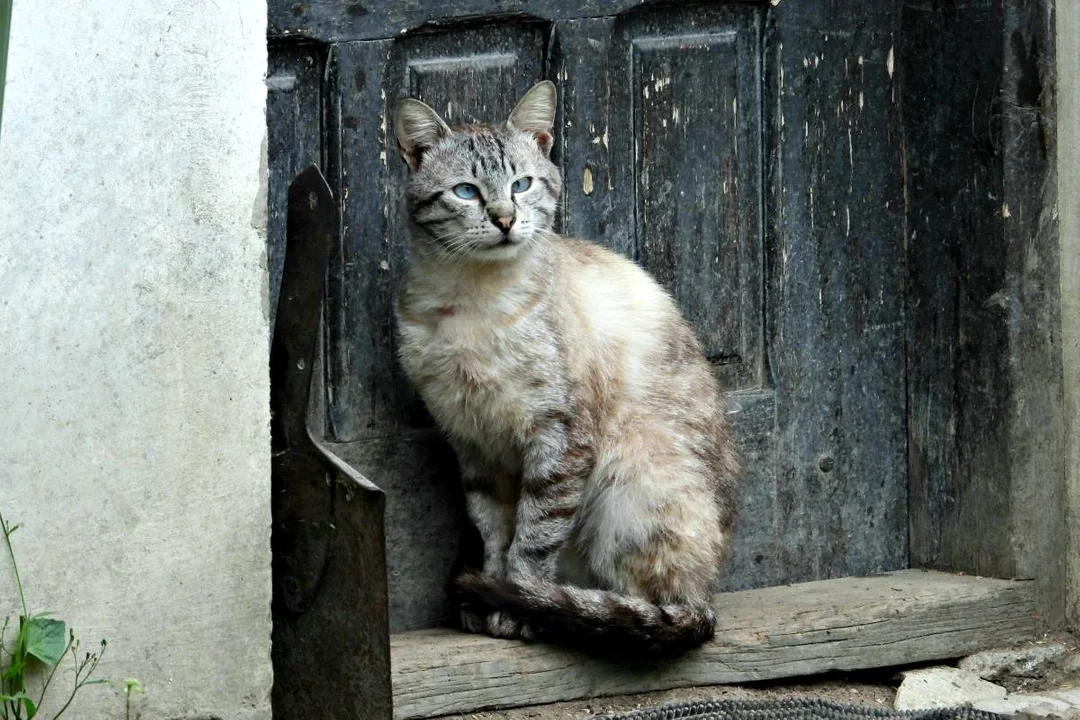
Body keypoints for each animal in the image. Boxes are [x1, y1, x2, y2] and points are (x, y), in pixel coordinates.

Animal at [393, 81, 738, 656]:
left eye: (522, 184)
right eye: (466, 192)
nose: (505, 220)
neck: (470, 301)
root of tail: (708, 600)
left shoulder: (559, 437)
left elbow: (533, 539)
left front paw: (518, 607)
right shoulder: (473, 443)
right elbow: (494, 531)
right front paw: (489, 601)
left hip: (630, 479)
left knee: (651, 606)